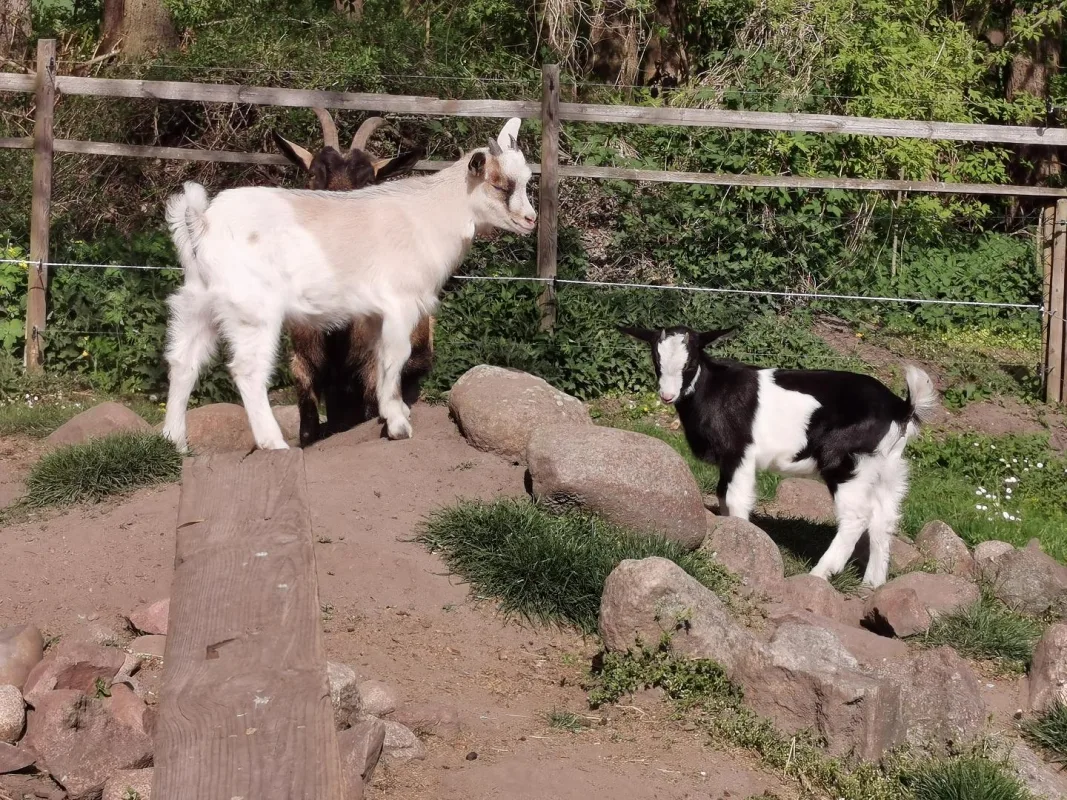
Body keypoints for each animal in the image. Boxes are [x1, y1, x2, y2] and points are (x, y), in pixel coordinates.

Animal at [620, 325, 938, 588]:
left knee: (857, 516)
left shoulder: (740, 451)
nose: (667, 396)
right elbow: (722, 493)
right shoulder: (727, 460)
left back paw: (819, 574)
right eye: (657, 360)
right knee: (885, 518)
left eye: (690, 363)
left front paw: (746, 541)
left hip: (846, 461)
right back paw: (872, 584)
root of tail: (901, 407)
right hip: (889, 466)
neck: (714, 390)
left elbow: (736, 498)